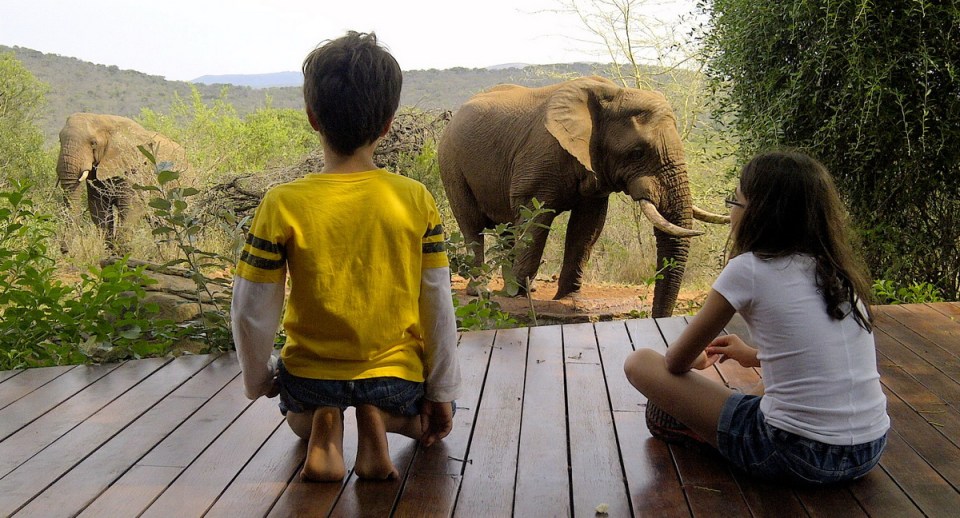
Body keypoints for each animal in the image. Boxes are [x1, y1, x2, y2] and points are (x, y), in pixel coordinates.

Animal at [56, 113, 188, 243]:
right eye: (59, 140)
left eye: (93, 143)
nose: (65, 248)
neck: (103, 118)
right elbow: (99, 208)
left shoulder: (133, 168)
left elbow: (132, 206)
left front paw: (121, 248)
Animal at [437, 76, 728, 318]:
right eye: (637, 153)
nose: (656, 318)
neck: (611, 95)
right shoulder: (538, 161)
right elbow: (535, 220)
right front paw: (517, 294)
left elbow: (587, 226)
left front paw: (568, 297)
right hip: (450, 164)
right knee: (472, 225)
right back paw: (483, 291)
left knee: (506, 229)